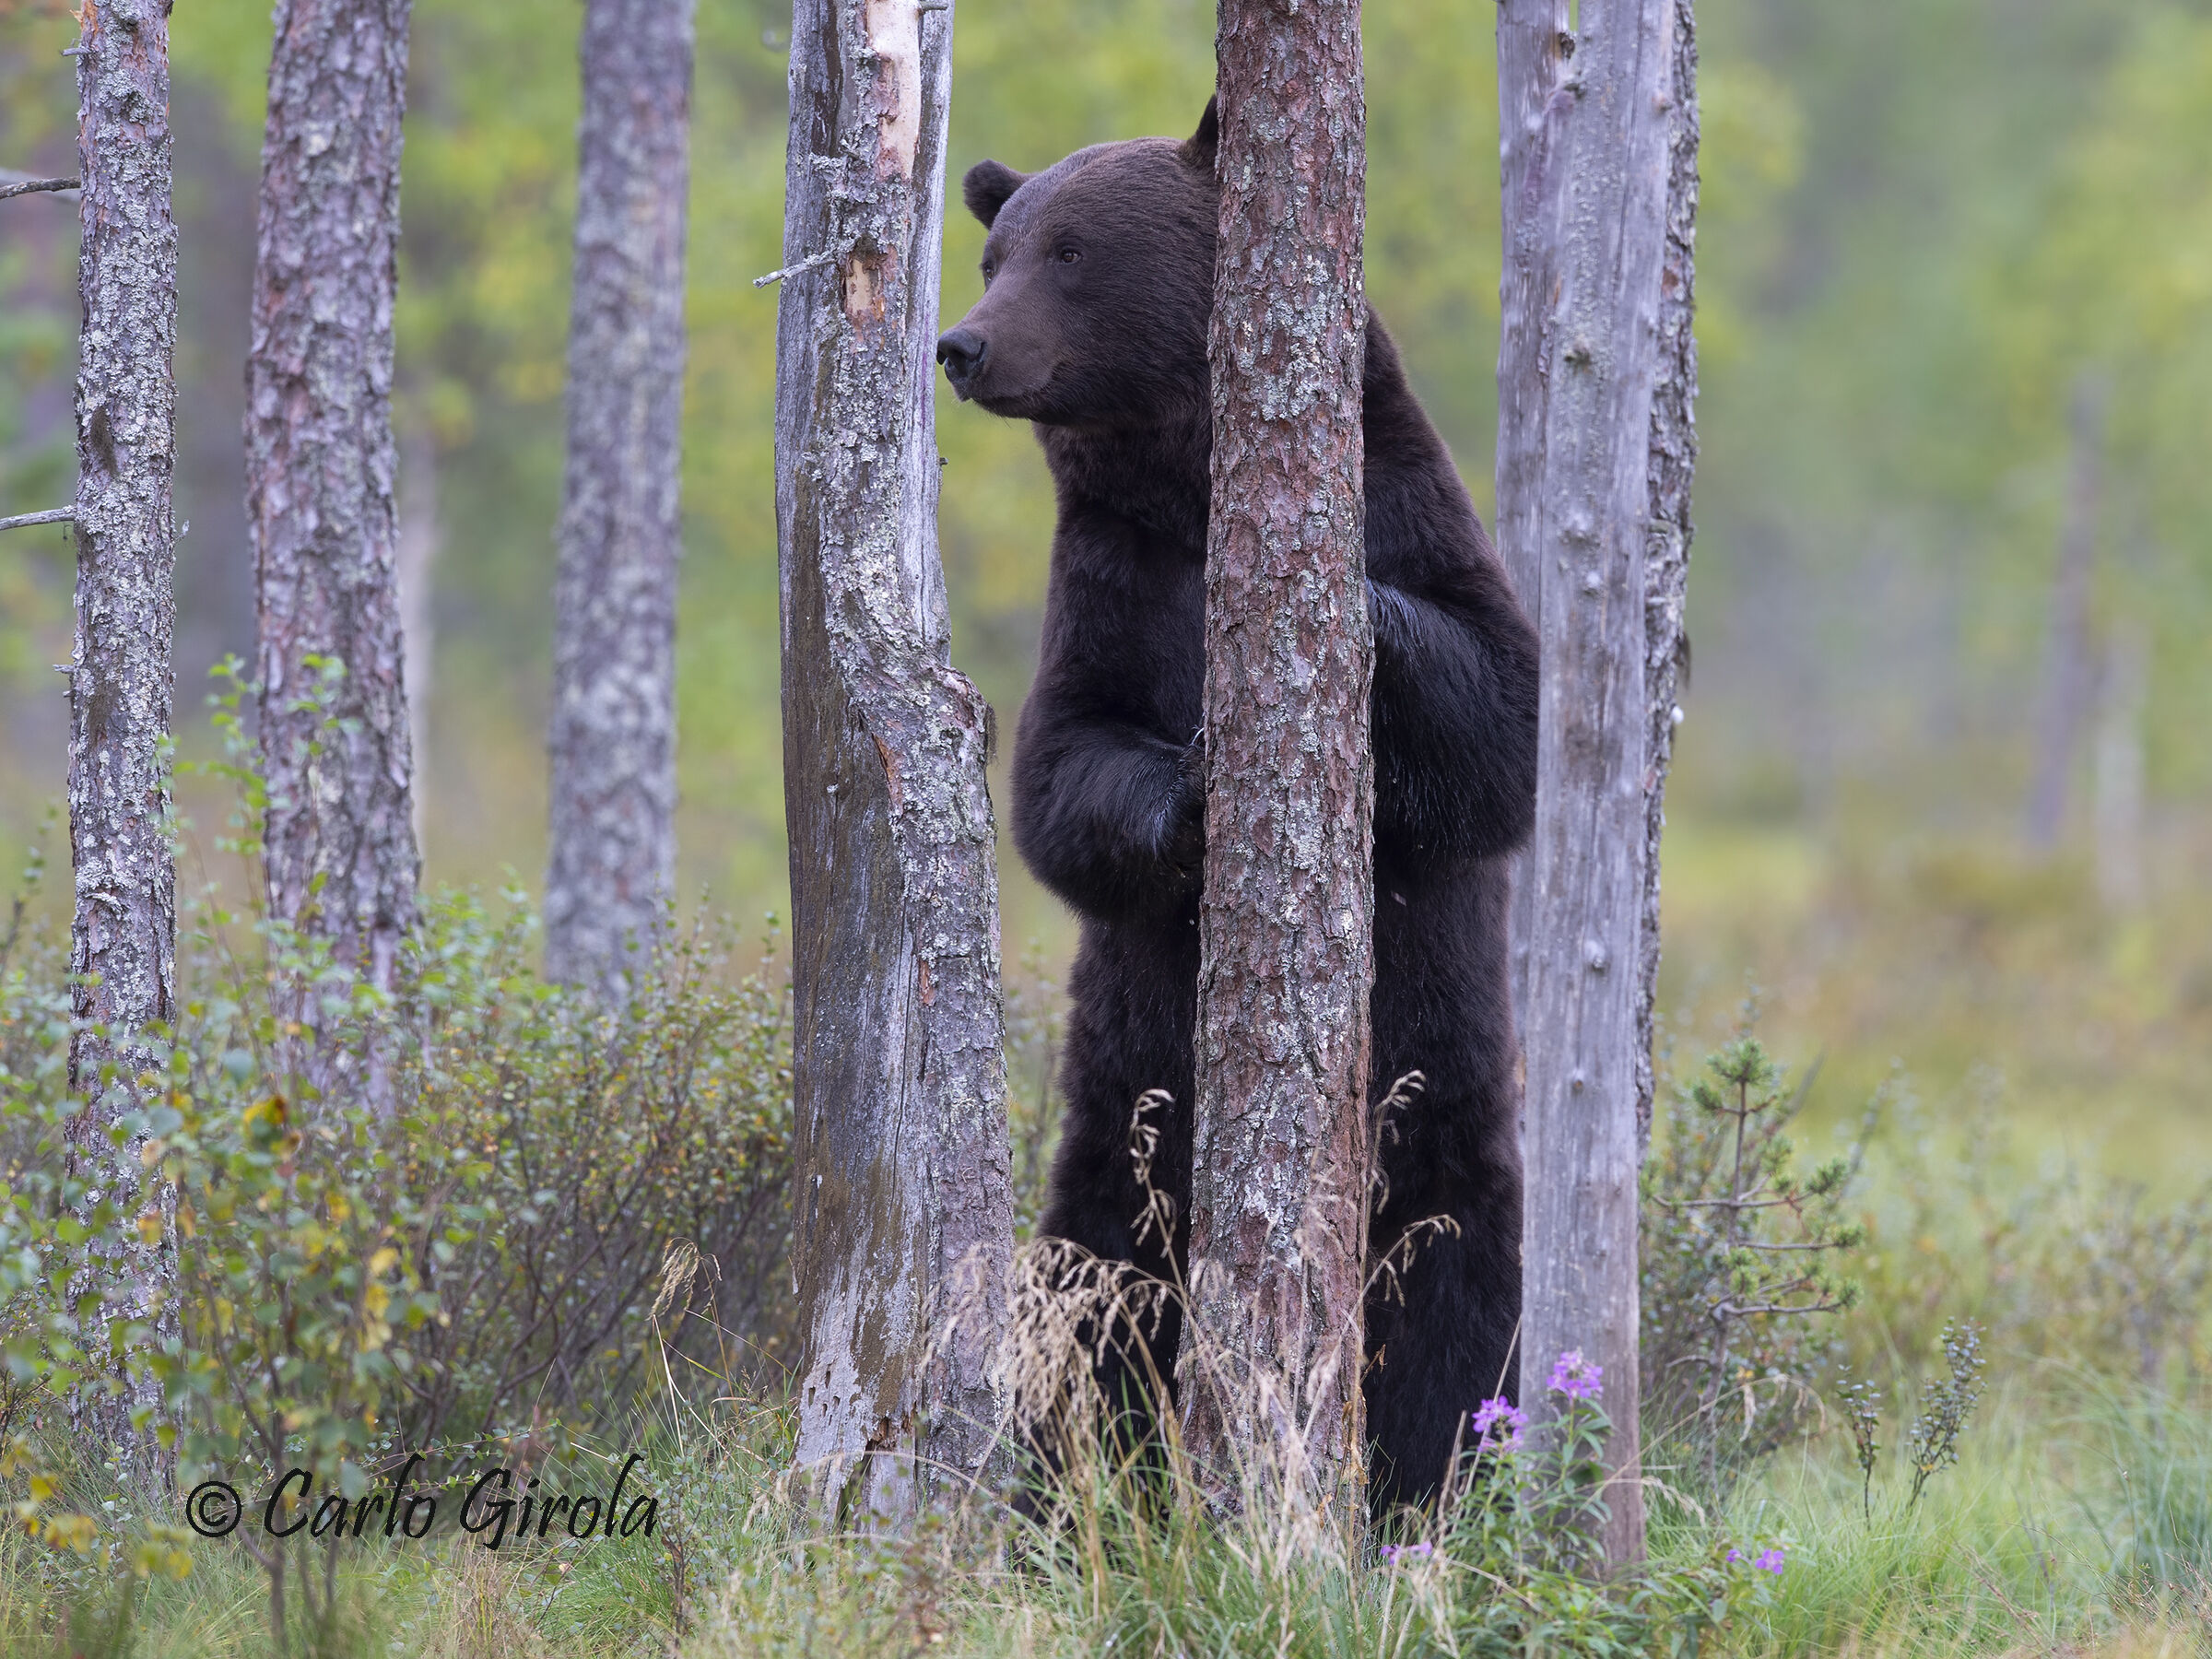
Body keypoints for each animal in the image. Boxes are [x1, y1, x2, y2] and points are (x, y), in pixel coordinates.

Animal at [935, 99, 1540, 1514]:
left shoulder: (1407, 499)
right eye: (999, 249)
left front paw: (1345, 610)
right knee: (1098, 1309)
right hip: (1122, 1139)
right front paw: (1196, 782)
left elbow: (1503, 716)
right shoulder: (1110, 581)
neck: (1189, 481)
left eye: (1071, 255)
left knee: (1452, 1320)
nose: (964, 343)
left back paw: (1423, 1493)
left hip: (1441, 1127)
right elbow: (1064, 775)